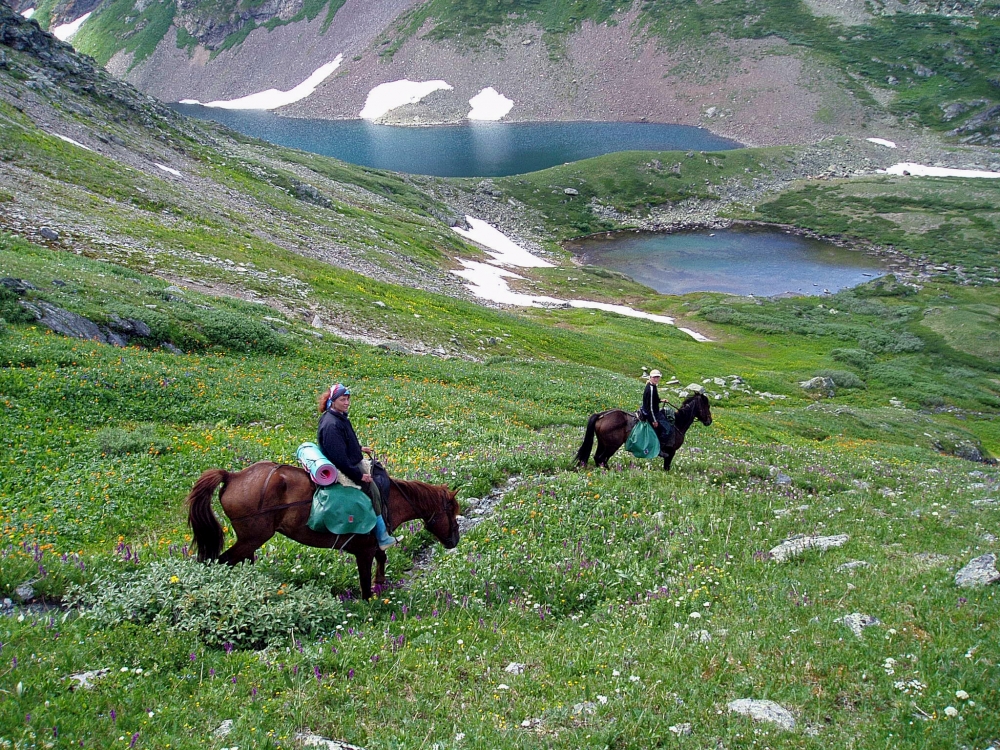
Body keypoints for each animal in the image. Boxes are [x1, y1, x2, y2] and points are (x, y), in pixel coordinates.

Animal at [186, 464, 458, 600]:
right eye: (452, 512)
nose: (455, 540)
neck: (388, 499)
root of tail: (232, 477)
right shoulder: (363, 551)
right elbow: (365, 581)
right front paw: (370, 602)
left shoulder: (371, 547)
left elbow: (382, 558)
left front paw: (381, 581)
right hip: (251, 538)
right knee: (223, 560)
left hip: (250, 541)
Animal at [576, 394, 716, 470]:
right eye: (707, 406)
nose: (709, 421)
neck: (677, 423)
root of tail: (601, 415)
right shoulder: (671, 452)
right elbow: (667, 467)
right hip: (612, 446)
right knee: (602, 459)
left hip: (602, 443)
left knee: (597, 458)